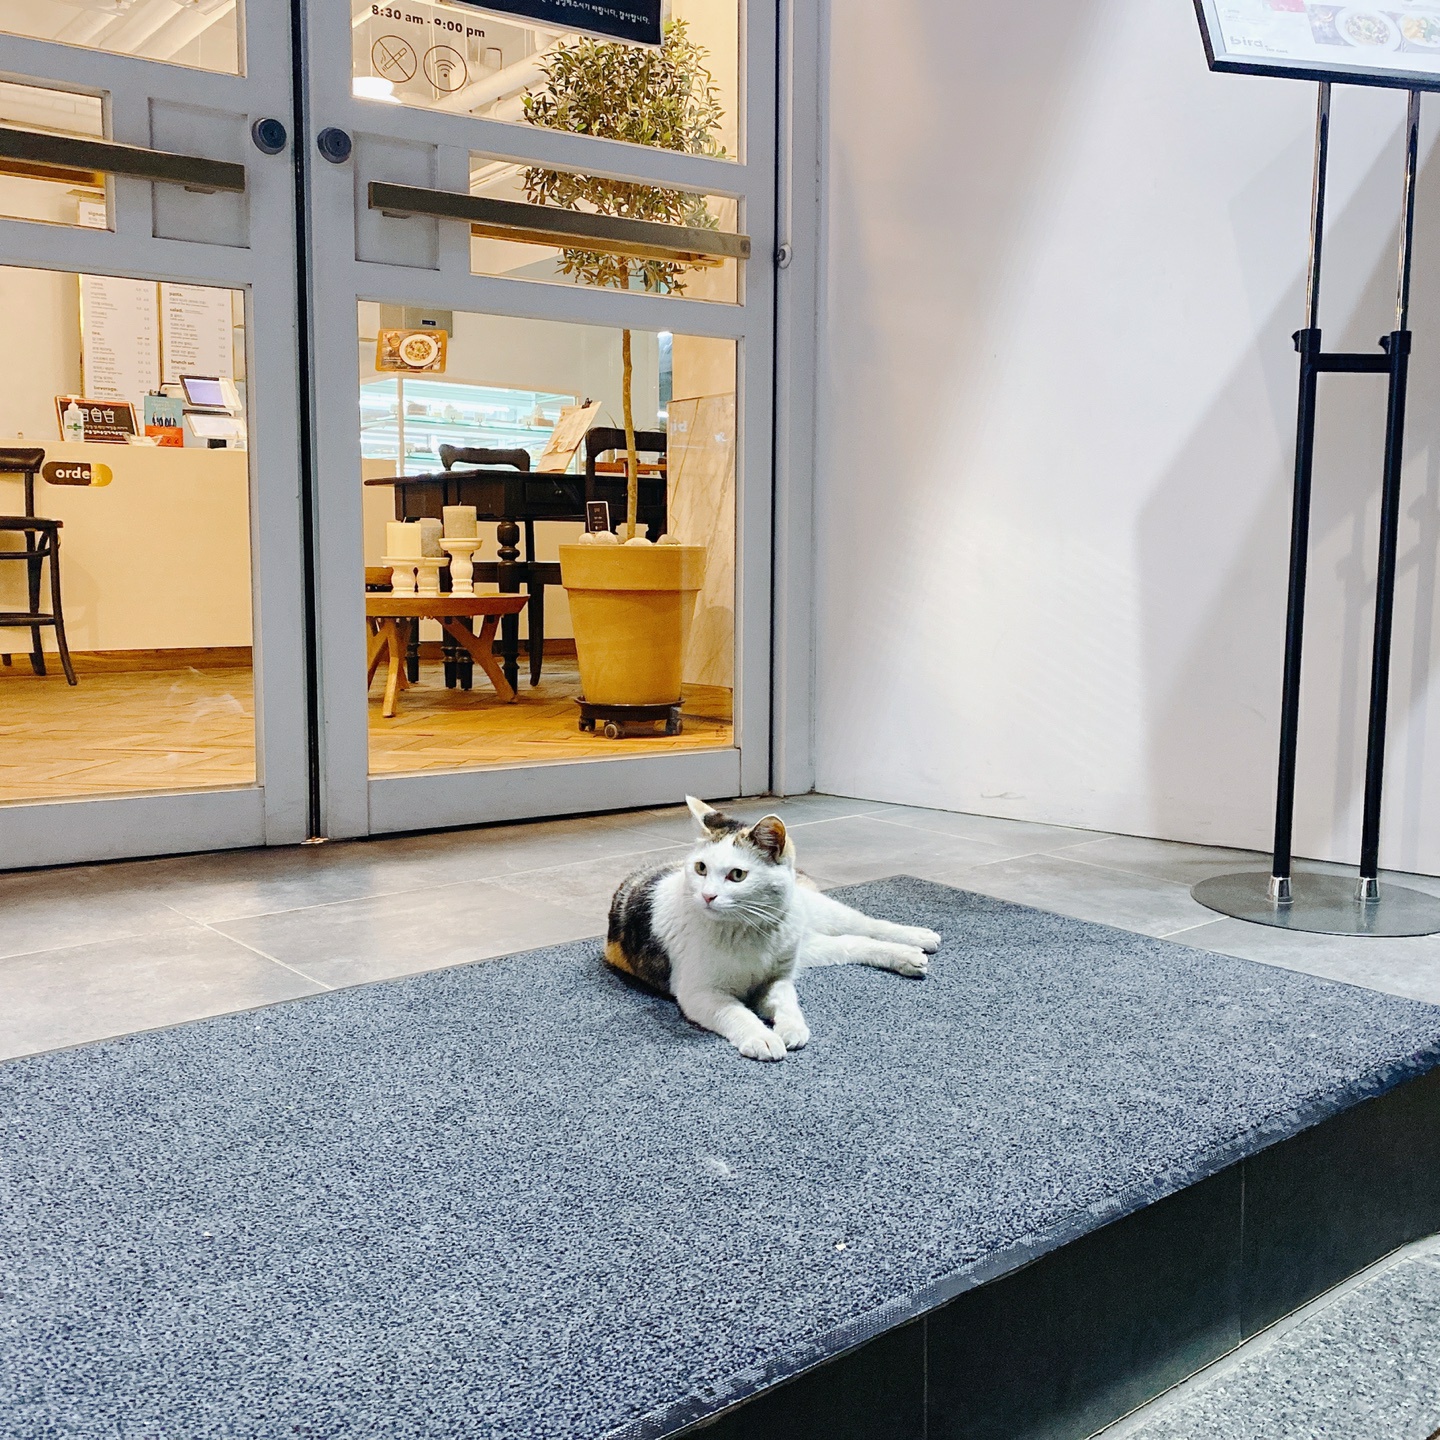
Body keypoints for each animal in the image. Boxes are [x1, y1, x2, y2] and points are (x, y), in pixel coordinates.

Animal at [605, 797, 943, 1061]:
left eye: (737, 875)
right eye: (700, 868)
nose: (707, 895)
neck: (748, 930)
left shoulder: (777, 979)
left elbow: (787, 1001)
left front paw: (791, 1027)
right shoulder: (700, 993)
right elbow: (737, 1012)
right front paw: (763, 1037)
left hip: (821, 915)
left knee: (867, 925)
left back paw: (918, 937)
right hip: (812, 947)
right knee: (853, 943)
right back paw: (909, 957)